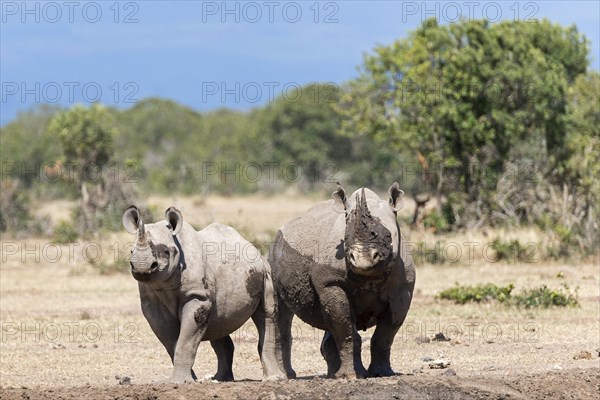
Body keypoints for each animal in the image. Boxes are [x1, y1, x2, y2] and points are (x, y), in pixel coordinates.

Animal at [120, 205, 284, 382]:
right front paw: (184, 380)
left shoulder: (197, 297)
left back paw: (273, 379)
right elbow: (171, 342)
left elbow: (185, 340)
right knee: (220, 322)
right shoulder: (151, 303)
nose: (142, 267)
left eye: (166, 252)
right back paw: (221, 379)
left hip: (266, 271)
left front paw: (179, 381)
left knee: (266, 316)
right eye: (131, 251)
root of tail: (253, 247)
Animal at [270, 184, 414, 378]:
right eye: (346, 238)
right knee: (281, 310)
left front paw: (383, 373)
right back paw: (286, 376)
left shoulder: (403, 289)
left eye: (389, 237)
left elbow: (385, 334)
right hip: (274, 252)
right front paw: (351, 376)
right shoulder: (331, 283)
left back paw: (332, 374)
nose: (362, 259)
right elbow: (345, 330)